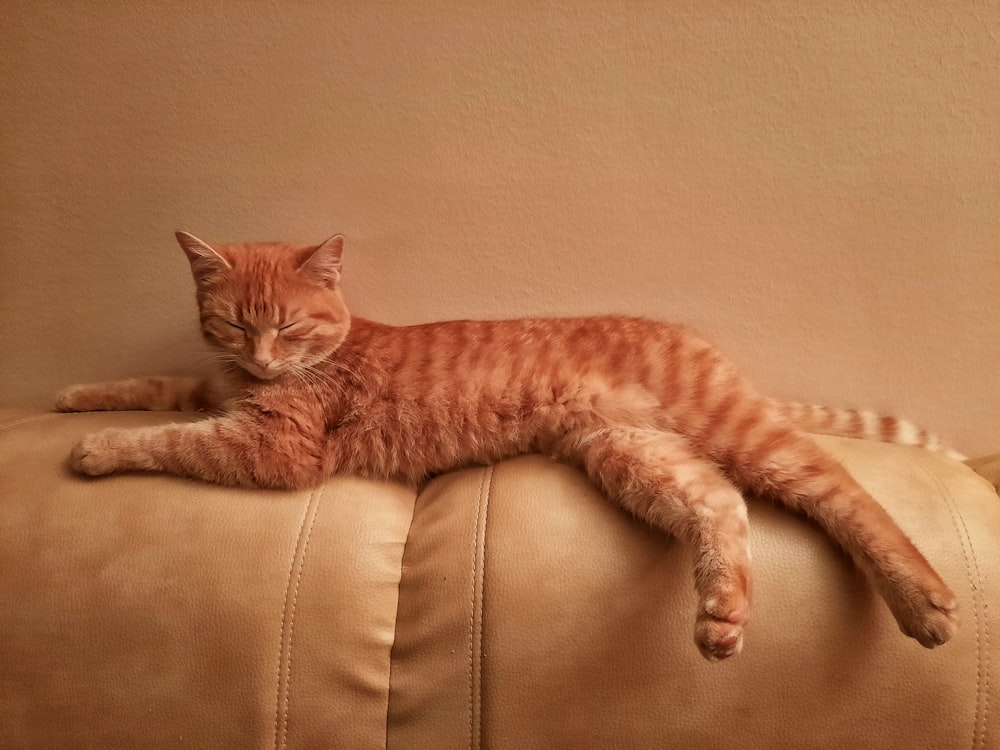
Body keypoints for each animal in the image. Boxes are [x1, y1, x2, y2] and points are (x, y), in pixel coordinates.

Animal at [54, 232, 960, 660]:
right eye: (237, 323)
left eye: (292, 325)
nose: (266, 358)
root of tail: (690, 336)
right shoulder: (218, 389)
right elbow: (159, 388)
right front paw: (74, 397)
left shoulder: (277, 447)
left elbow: (178, 439)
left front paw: (97, 449)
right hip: (630, 453)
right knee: (720, 501)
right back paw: (721, 616)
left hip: (729, 427)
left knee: (841, 487)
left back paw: (924, 599)